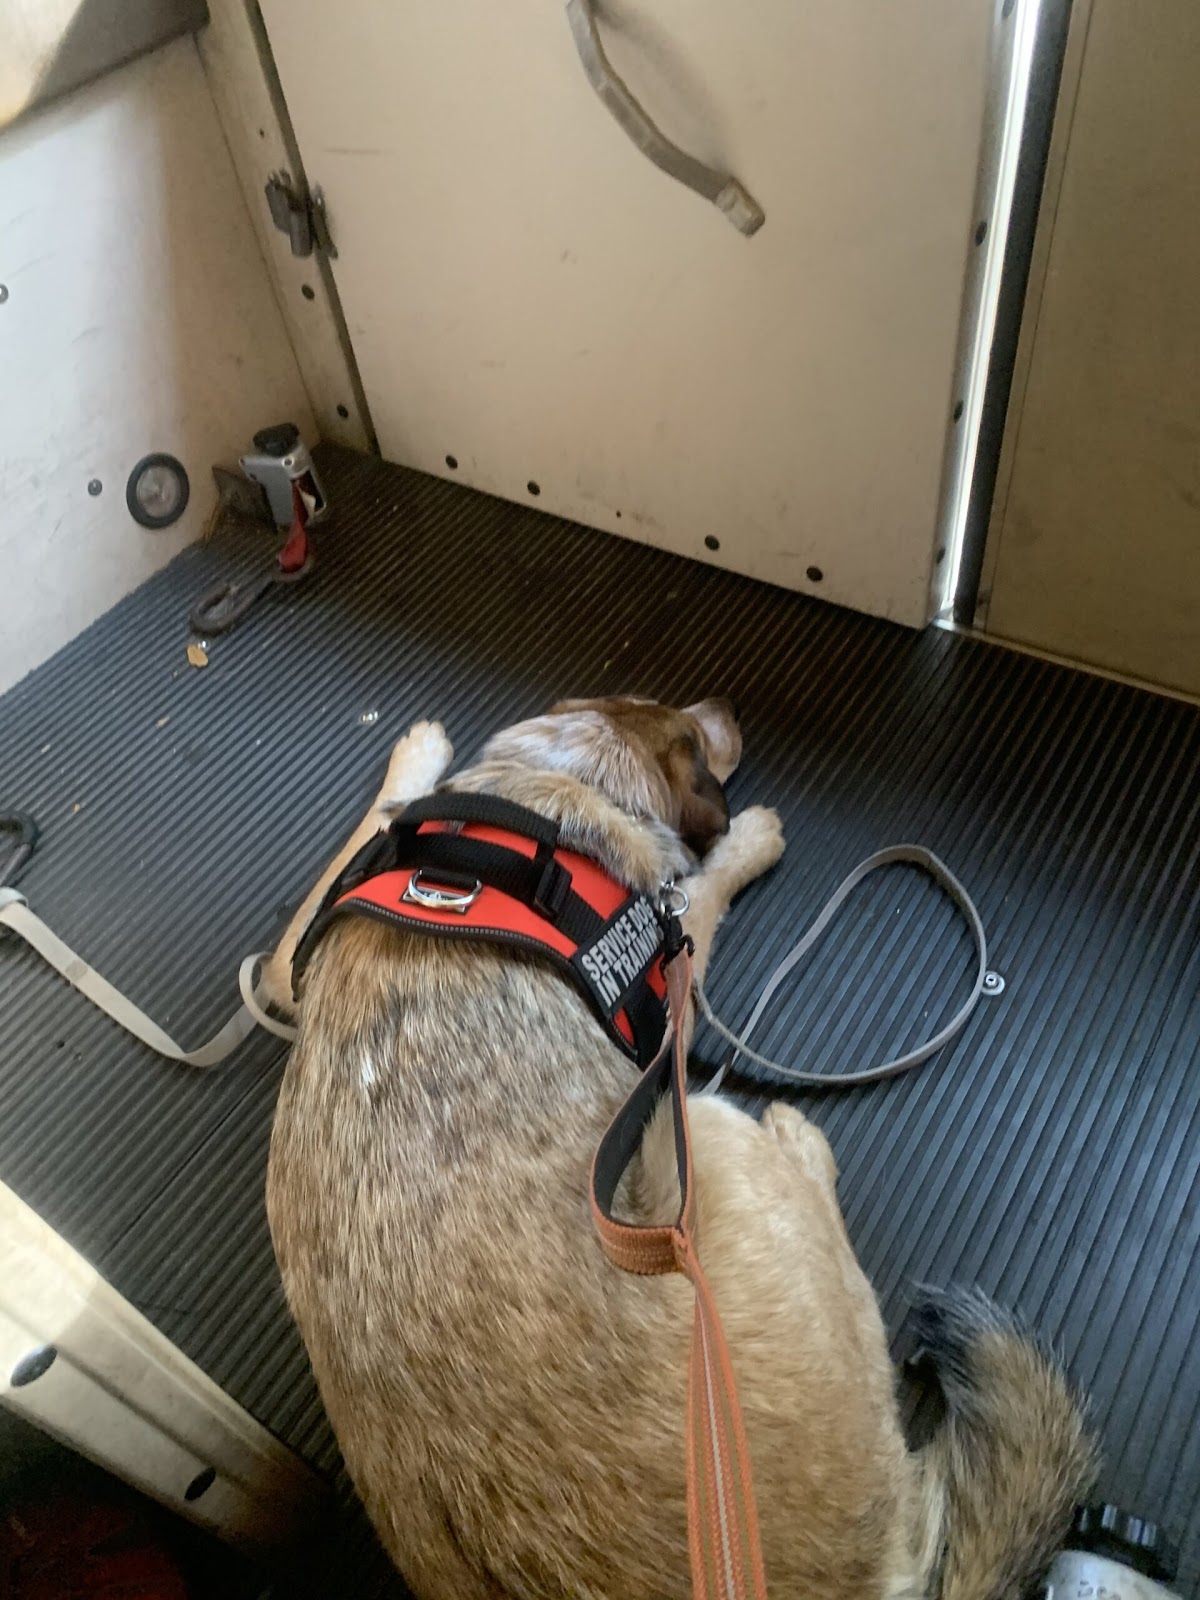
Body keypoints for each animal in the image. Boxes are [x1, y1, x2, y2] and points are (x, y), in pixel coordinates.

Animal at [265, 697, 1100, 1600]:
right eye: (701, 739)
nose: (729, 707)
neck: (556, 788)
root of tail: (883, 1575)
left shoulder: (292, 962)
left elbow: (351, 848)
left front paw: (413, 757)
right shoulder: (673, 977)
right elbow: (703, 891)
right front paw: (752, 839)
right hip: (706, 1136)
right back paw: (802, 1140)